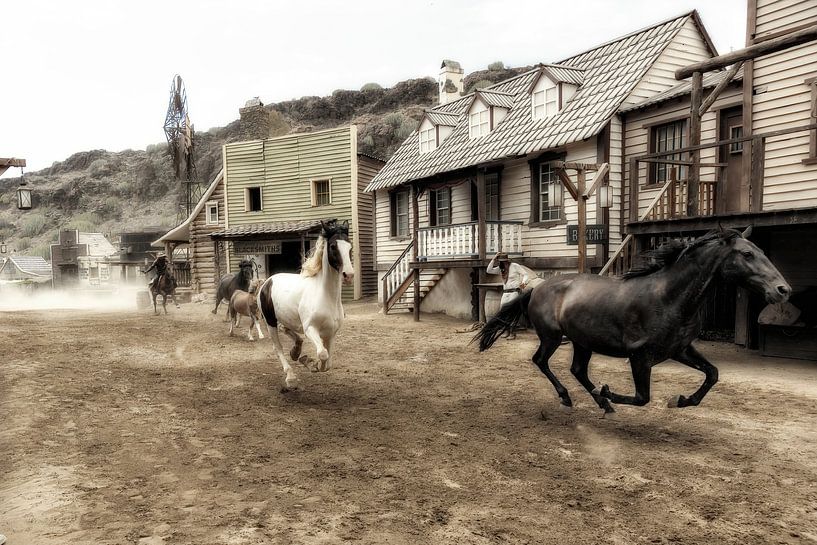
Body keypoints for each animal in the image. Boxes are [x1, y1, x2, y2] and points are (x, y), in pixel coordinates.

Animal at [257, 220, 354, 391]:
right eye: (333, 246)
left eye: (349, 246)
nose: (348, 275)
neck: (325, 296)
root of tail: (267, 282)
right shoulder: (310, 329)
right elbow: (323, 354)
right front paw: (309, 362)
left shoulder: (331, 333)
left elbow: (327, 363)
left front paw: (307, 361)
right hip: (270, 322)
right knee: (278, 347)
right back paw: (290, 377)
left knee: (286, 329)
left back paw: (296, 351)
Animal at [474, 227, 791, 416]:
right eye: (747, 254)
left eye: (762, 252)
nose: (783, 290)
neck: (670, 297)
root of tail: (537, 287)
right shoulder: (640, 356)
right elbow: (642, 397)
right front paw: (609, 391)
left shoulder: (680, 349)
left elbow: (712, 374)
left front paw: (680, 400)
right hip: (552, 337)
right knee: (541, 361)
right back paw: (572, 398)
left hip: (582, 341)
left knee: (577, 370)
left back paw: (601, 402)